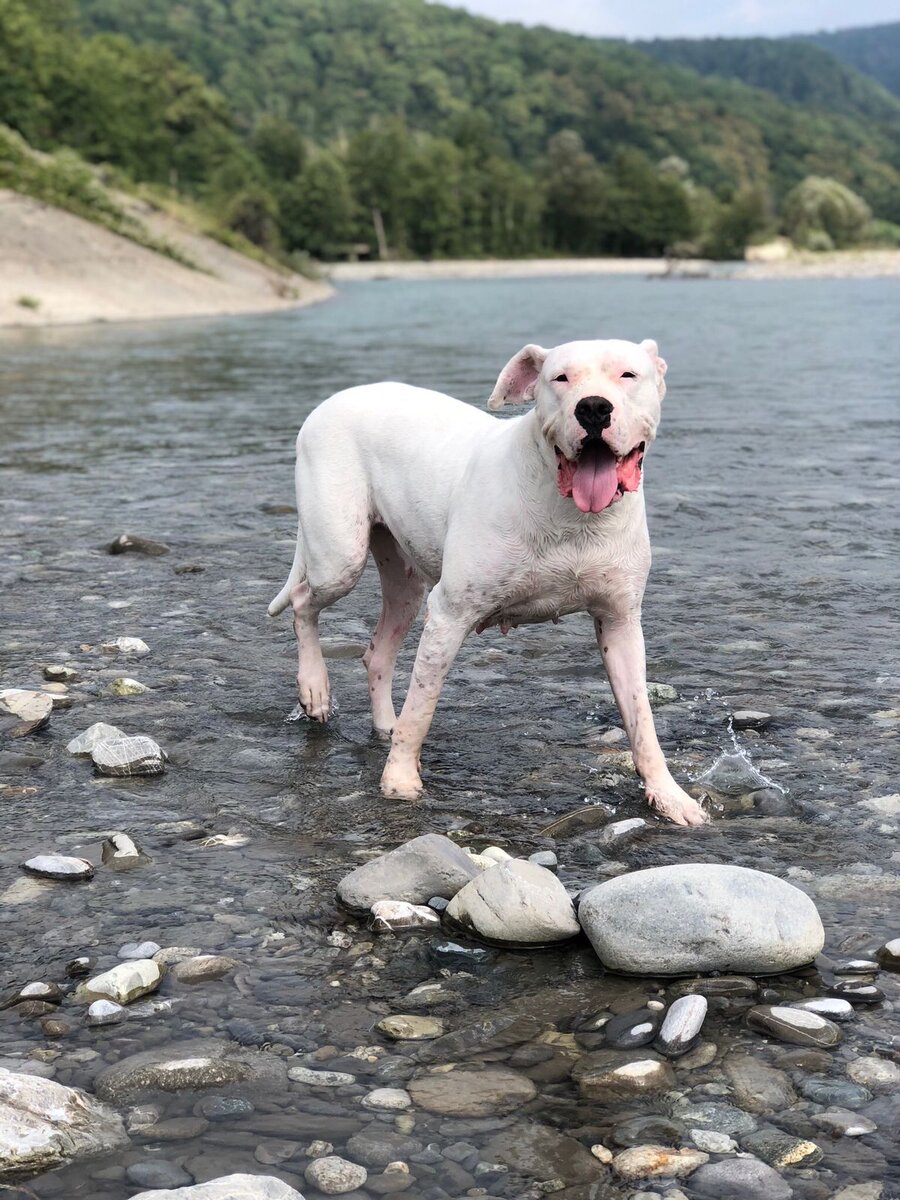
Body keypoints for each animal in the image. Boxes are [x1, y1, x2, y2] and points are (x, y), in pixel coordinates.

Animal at [271, 338, 710, 825]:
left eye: (628, 375)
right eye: (561, 378)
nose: (594, 407)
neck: (572, 515)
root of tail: (333, 400)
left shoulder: (620, 623)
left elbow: (641, 718)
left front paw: (670, 796)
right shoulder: (449, 614)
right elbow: (422, 707)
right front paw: (399, 782)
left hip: (406, 586)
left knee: (378, 651)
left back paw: (385, 724)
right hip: (339, 557)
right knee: (303, 601)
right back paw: (314, 688)